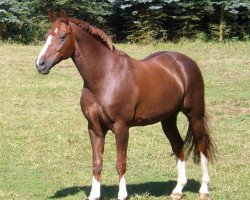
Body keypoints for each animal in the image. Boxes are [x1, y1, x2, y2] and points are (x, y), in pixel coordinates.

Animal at [34, 10, 215, 200]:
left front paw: (122, 195)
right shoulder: (94, 128)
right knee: (178, 145)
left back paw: (203, 189)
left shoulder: (121, 127)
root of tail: (186, 63)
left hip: (195, 115)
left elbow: (121, 163)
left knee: (202, 147)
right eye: (46, 36)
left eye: (62, 36)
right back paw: (178, 189)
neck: (105, 77)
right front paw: (94, 195)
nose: (40, 64)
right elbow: (97, 162)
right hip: (168, 119)